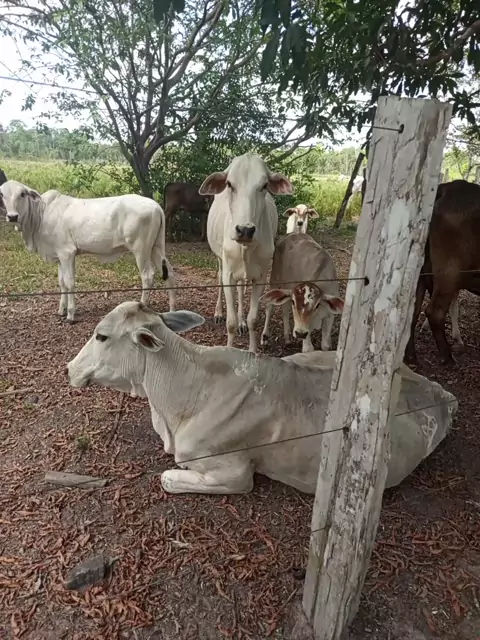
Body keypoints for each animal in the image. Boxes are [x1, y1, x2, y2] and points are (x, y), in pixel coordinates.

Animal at [4, 182, 176, 323]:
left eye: (22, 194)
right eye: (2, 194)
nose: (12, 216)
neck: (41, 213)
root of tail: (156, 206)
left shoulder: (67, 252)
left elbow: (69, 282)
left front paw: (70, 315)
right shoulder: (60, 255)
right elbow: (62, 282)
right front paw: (61, 310)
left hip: (141, 249)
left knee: (148, 276)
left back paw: (142, 305)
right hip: (156, 247)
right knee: (169, 272)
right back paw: (173, 308)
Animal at [199, 153, 293, 353]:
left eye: (264, 185)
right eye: (229, 184)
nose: (245, 230)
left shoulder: (261, 276)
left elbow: (253, 320)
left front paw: (252, 350)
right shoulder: (228, 274)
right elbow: (230, 323)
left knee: (242, 289)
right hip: (220, 260)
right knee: (219, 278)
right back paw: (218, 312)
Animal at [405, 180, 480, 365]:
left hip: (422, 272)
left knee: (413, 310)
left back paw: (411, 356)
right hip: (449, 273)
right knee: (435, 312)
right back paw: (448, 357)